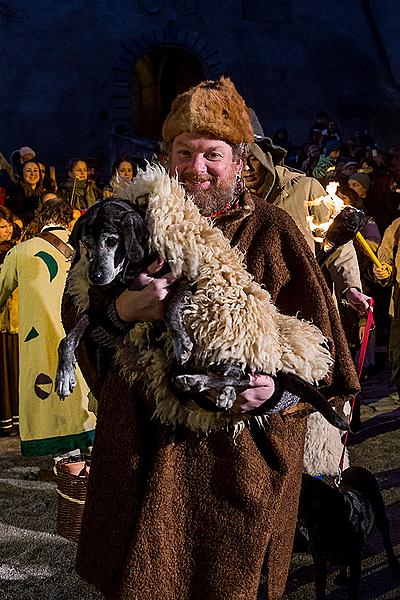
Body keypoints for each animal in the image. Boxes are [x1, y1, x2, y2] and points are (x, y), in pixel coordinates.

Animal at [55, 197, 350, 426]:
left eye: (112, 240)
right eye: (86, 242)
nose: (94, 276)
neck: (129, 272)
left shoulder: (185, 281)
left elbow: (170, 308)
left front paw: (181, 340)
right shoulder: (99, 308)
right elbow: (68, 338)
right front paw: (64, 375)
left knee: (243, 375)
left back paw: (203, 382)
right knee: (237, 377)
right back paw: (214, 389)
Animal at [298, 468, 398, 600]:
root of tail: (358, 468)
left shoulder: (354, 558)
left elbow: (353, 589)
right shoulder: (319, 561)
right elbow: (320, 589)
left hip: (381, 515)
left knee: (386, 540)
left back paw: (393, 563)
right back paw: (342, 576)